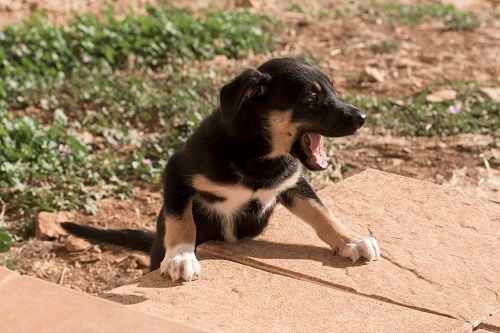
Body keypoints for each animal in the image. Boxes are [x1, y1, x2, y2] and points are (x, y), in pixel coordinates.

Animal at [64, 57, 380, 280]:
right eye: (311, 99)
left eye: (333, 91)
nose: (362, 117)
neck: (257, 156)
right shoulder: (176, 172)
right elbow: (182, 221)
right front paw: (181, 257)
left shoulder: (293, 182)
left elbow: (322, 213)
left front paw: (351, 240)